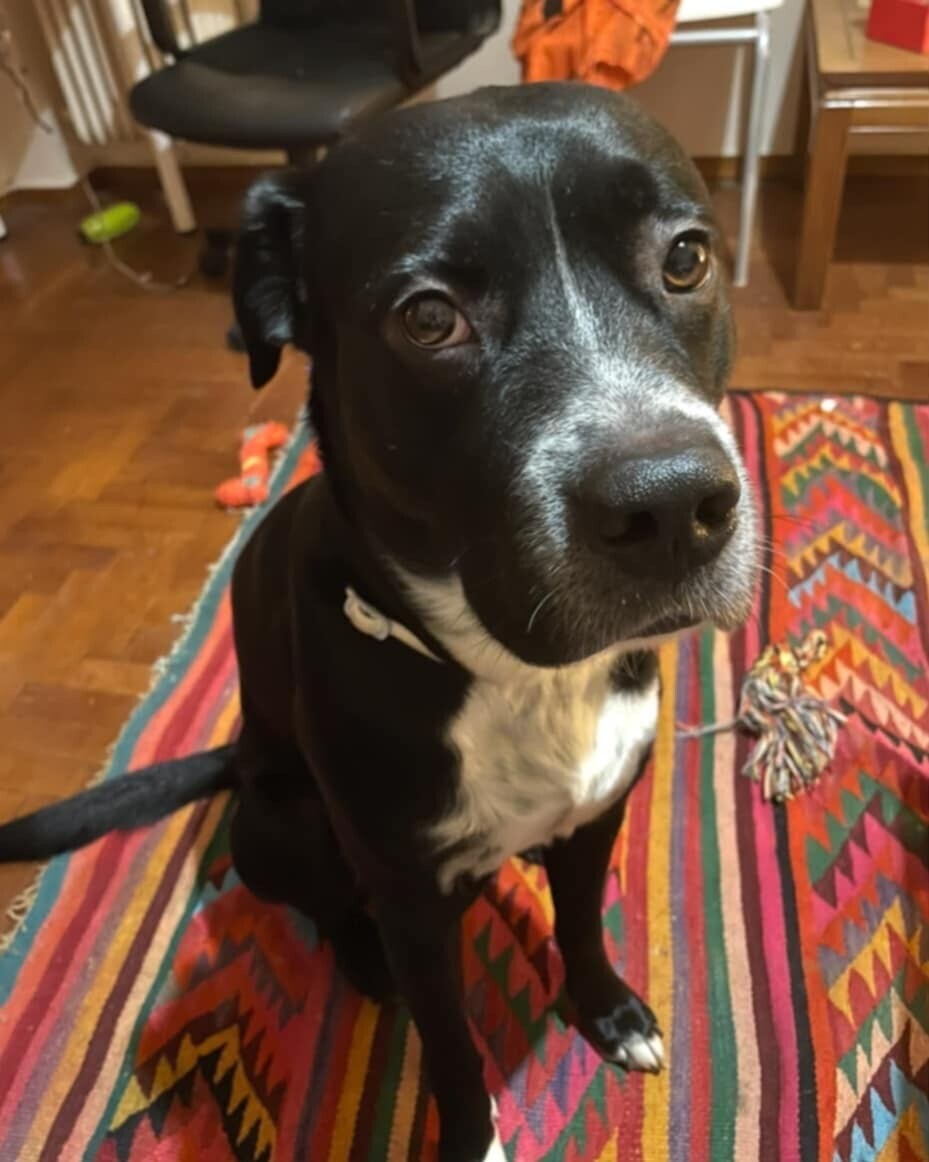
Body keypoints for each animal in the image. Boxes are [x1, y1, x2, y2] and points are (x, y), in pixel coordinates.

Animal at [0, 83, 757, 1162]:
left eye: (685, 257)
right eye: (428, 317)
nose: (670, 506)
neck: (513, 678)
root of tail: (239, 762)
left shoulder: (603, 805)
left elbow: (576, 920)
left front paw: (607, 1008)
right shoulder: (408, 898)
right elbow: (449, 1040)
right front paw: (469, 1132)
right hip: (282, 828)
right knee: (324, 906)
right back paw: (360, 963)